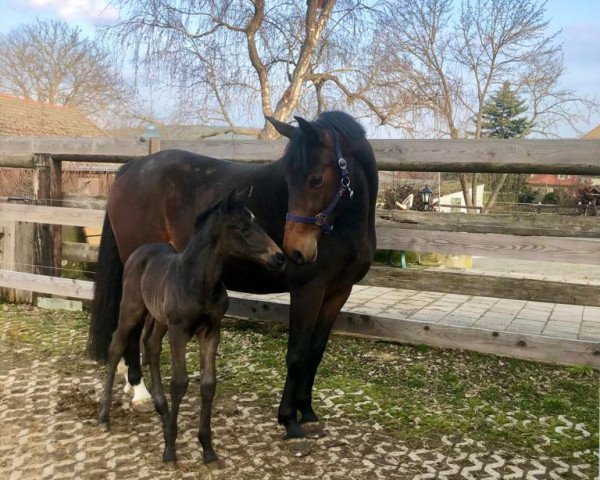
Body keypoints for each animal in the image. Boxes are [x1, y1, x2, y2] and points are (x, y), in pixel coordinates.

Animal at [98, 186, 286, 464]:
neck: (198, 279)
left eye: (258, 223)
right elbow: (180, 382)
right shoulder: (179, 330)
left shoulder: (211, 330)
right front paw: (169, 449)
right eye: (242, 227)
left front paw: (207, 447)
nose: (279, 257)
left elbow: (208, 383)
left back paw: (164, 415)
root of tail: (140, 250)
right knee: (117, 344)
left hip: (158, 317)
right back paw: (104, 416)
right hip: (132, 308)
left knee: (151, 345)